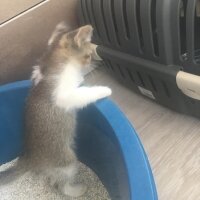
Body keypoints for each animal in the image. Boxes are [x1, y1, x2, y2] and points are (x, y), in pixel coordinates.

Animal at [0, 23, 111, 197]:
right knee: (60, 185)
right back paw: (77, 190)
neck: (54, 64)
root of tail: (29, 158)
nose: (93, 62)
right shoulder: (64, 96)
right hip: (67, 160)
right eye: (88, 55)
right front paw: (104, 90)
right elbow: (83, 93)